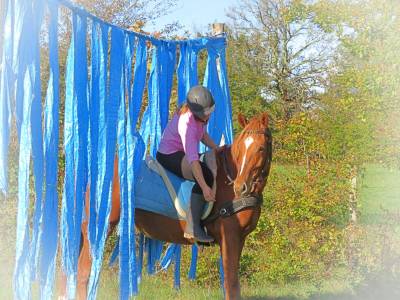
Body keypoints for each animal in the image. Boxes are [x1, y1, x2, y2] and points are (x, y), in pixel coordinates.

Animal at [62, 111, 274, 298]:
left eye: (261, 148)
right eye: (240, 149)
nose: (240, 187)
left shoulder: (240, 239)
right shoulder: (229, 238)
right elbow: (231, 285)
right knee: (83, 273)